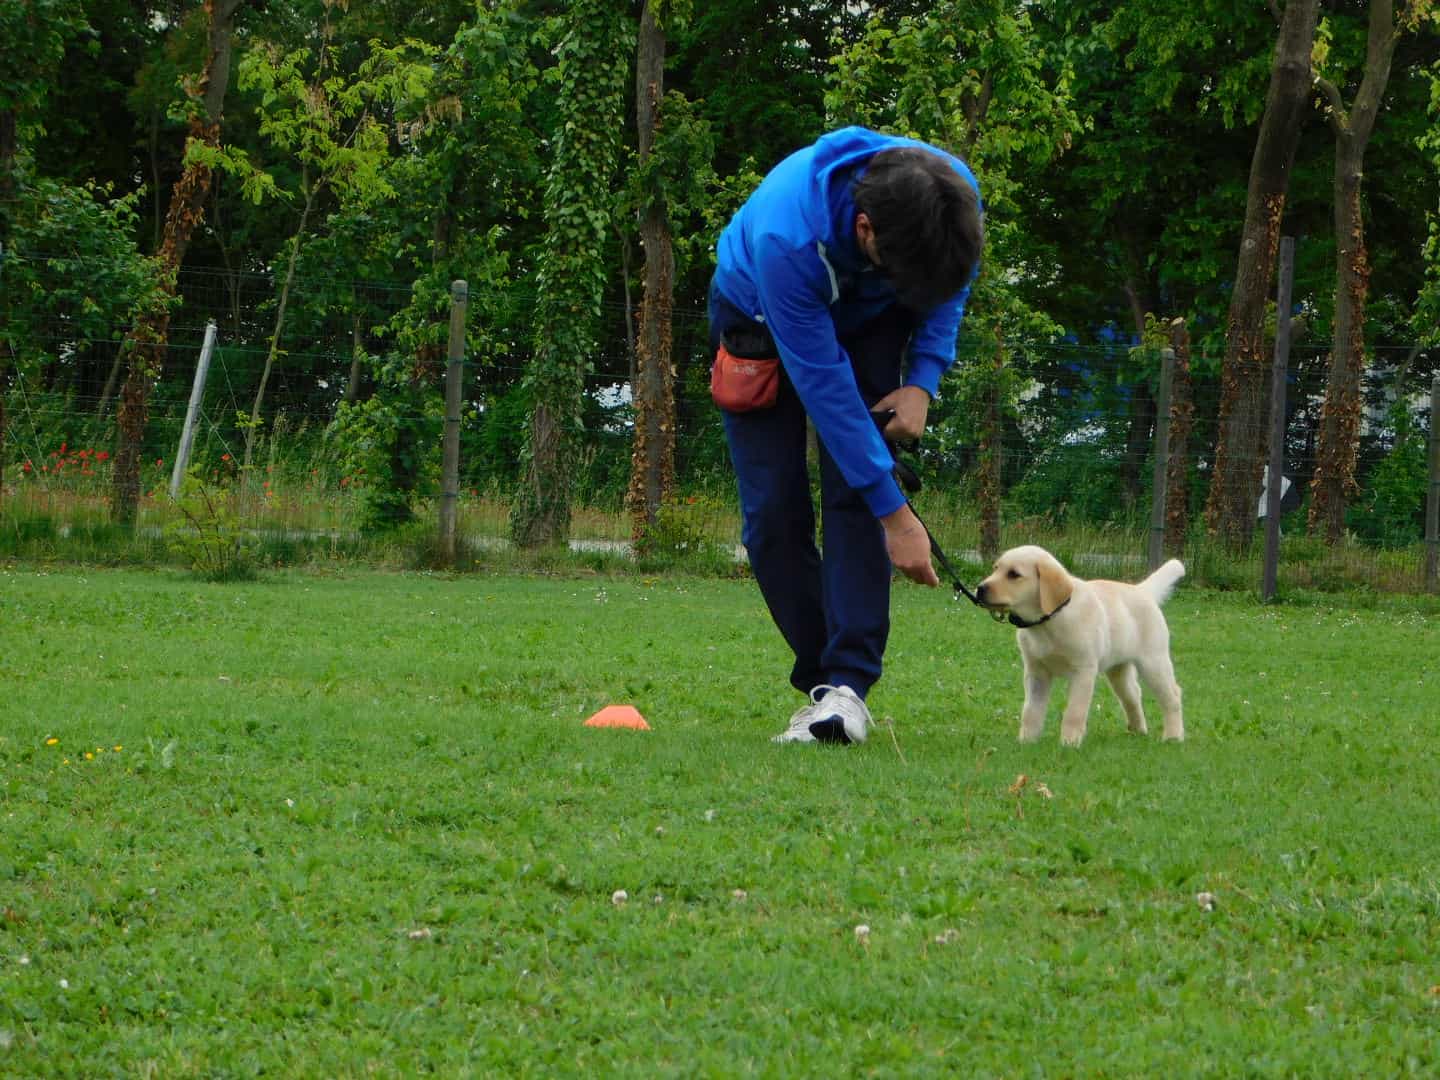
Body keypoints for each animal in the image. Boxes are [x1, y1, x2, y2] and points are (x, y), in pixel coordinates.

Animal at [973, 544, 1186, 748]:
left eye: (1013, 574)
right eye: (995, 569)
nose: (979, 589)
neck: (1049, 619)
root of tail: (1142, 590)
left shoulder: (1083, 671)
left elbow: (1074, 713)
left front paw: (1069, 744)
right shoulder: (1036, 673)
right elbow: (1031, 711)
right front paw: (1027, 742)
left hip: (1154, 662)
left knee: (1173, 696)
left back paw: (1173, 736)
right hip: (1118, 670)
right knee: (1133, 695)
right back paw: (1138, 731)